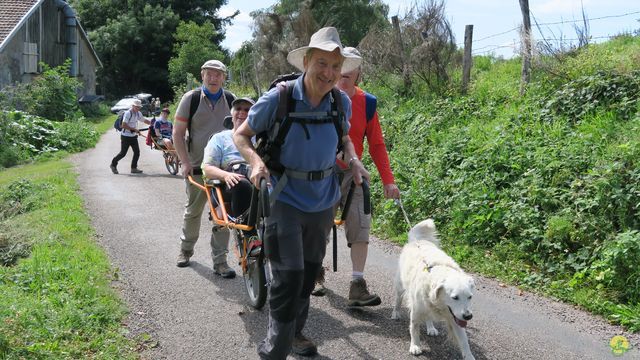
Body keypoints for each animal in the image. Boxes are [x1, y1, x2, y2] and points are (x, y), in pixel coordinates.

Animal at [390, 218, 476, 358]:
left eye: (470, 297)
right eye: (455, 297)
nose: (468, 316)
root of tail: (417, 240)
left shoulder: (456, 317)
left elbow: (464, 341)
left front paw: (469, 356)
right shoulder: (416, 309)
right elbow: (414, 329)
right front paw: (415, 346)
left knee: (429, 316)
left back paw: (431, 328)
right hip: (400, 286)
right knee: (398, 300)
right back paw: (395, 313)